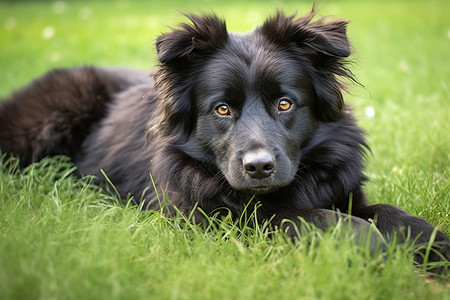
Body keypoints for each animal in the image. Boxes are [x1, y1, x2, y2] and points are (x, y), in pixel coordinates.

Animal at [0, 10, 450, 274]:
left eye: (285, 103)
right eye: (221, 109)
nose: (259, 167)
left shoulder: (343, 190)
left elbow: (391, 213)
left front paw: (434, 245)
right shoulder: (222, 221)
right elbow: (309, 218)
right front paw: (375, 250)